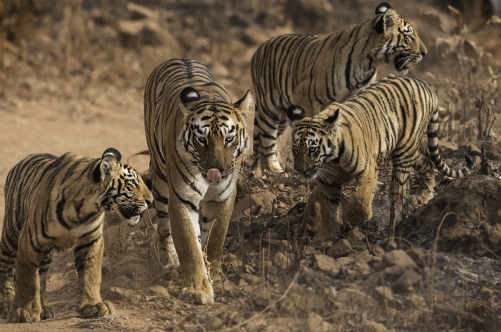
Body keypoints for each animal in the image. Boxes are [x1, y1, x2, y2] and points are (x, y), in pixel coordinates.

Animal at [0, 148, 152, 322]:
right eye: (132, 183)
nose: (151, 201)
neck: (85, 208)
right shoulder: (29, 240)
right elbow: (27, 279)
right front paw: (24, 311)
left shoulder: (91, 240)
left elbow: (91, 274)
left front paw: (93, 305)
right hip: (11, 235)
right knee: (5, 267)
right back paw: (7, 304)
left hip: (46, 252)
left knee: (42, 277)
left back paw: (45, 309)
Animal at [250, 1, 426, 174]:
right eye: (409, 36)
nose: (425, 53)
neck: (369, 62)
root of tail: (260, 48)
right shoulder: (306, 96)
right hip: (269, 109)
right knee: (267, 141)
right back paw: (272, 170)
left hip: (283, 116)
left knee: (274, 139)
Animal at [286, 75, 472, 245]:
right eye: (295, 149)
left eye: (312, 149)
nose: (300, 170)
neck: (331, 159)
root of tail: (424, 84)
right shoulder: (328, 181)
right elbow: (328, 209)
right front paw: (326, 237)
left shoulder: (367, 169)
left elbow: (360, 199)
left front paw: (355, 219)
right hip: (409, 149)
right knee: (428, 162)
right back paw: (424, 195)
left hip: (404, 152)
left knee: (399, 191)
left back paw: (394, 217)